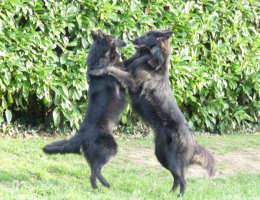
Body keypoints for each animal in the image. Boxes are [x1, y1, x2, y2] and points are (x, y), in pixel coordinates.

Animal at [43, 30, 126, 189]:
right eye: (112, 37)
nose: (126, 42)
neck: (101, 58)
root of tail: (80, 135)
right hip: (110, 148)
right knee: (96, 170)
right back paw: (104, 185)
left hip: (94, 155)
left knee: (93, 171)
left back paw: (98, 186)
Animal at [89, 30, 215, 196]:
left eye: (148, 35)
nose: (132, 39)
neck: (150, 61)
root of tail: (193, 141)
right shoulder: (127, 66)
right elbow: (117, 65)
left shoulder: (132, 80)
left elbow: (112, 69)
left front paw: (97, 70)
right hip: (162, 156)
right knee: (176, 178)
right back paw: (169, 194)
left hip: (173, 160)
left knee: (183, 180)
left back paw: (179, 195)